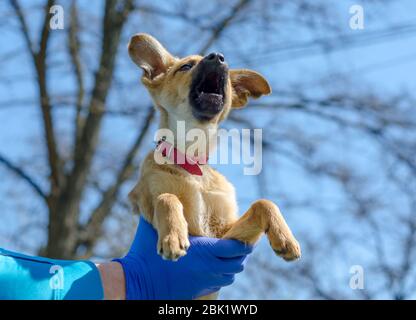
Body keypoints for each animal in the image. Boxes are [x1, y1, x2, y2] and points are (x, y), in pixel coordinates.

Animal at [128, 33, 300, 298]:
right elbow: (167, 197)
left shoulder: (225, 237)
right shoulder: (149, 202)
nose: (218, 56)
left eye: (227, 75)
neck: (192, 164)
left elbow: (263, 203)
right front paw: (173, 236)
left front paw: (285, 238)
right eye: (185, 67)